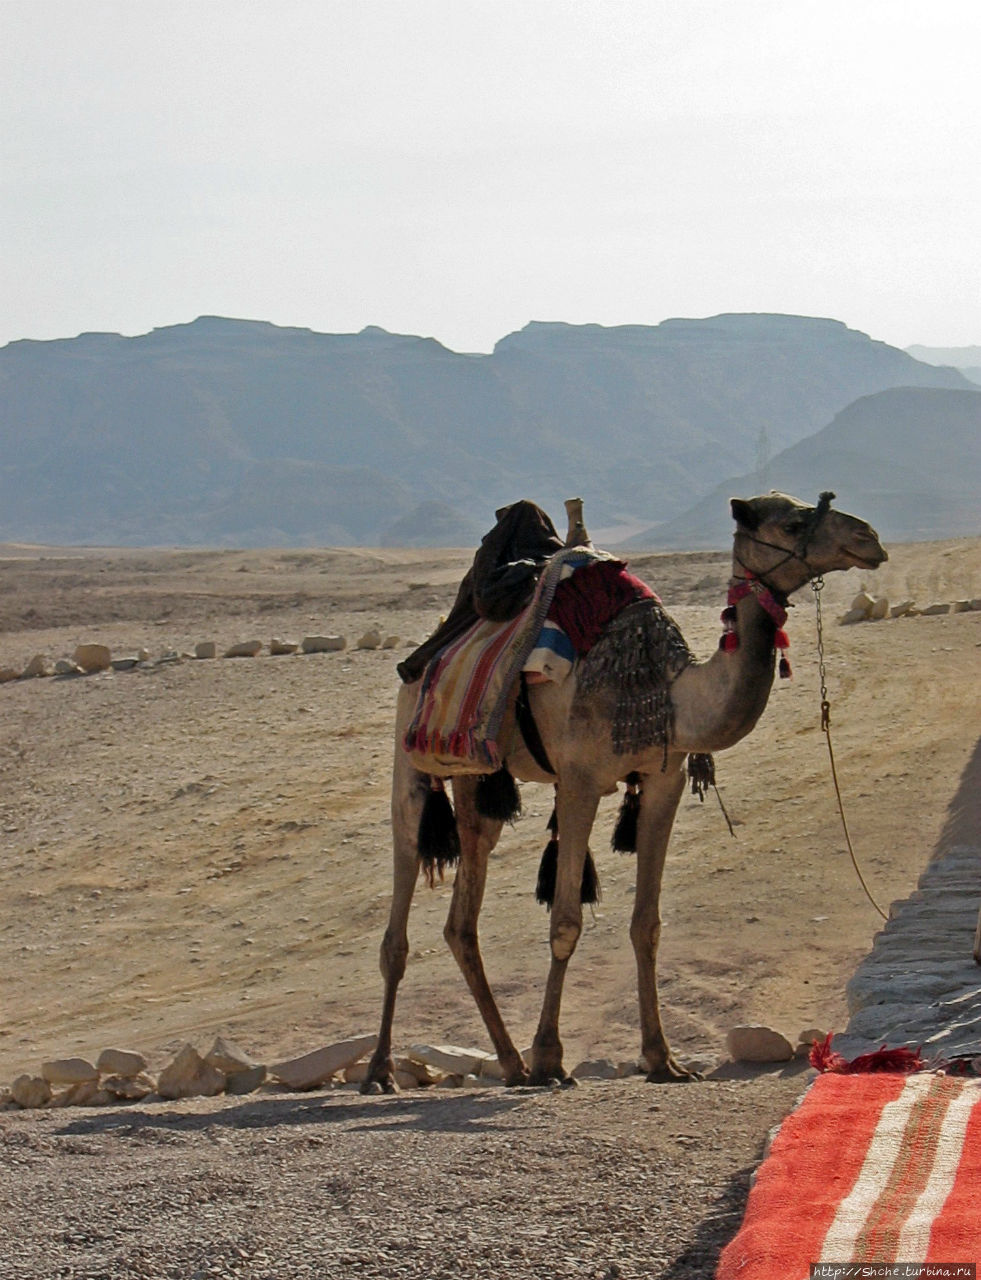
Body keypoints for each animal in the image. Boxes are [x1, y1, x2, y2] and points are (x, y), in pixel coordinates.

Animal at [361, 488, 891, 1090]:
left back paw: (511, 1063)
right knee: (401, 909)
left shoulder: (665, 778)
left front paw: (663, 1060)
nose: (868, 538)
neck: (670, 687)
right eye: (793, 523)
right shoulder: (579, 780)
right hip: (411, 758)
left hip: (480, 780)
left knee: (462, 919)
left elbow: (647, 925)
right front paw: (551, 1059)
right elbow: (565, 920)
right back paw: (383, 1070)